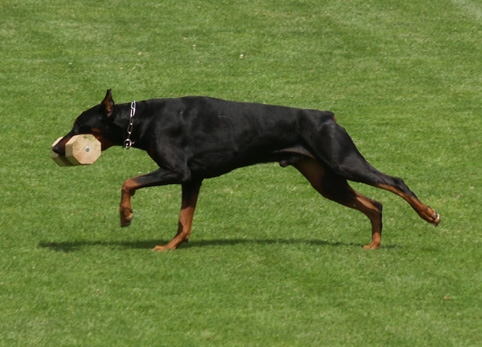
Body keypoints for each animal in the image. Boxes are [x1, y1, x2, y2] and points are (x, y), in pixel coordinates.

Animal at [53, 89, 440, 251]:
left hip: (342, 161)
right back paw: (373, 244)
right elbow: (184, 220)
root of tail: (327, 116)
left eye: (78, 125)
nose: (56, 148)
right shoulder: (193, 179)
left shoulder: (177, 171)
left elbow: (128, 181)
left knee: (395, 182)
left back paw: (429, 214)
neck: (142, 118)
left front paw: (126, 216)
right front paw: (172, 246)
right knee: (375, 204)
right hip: (326, 180)